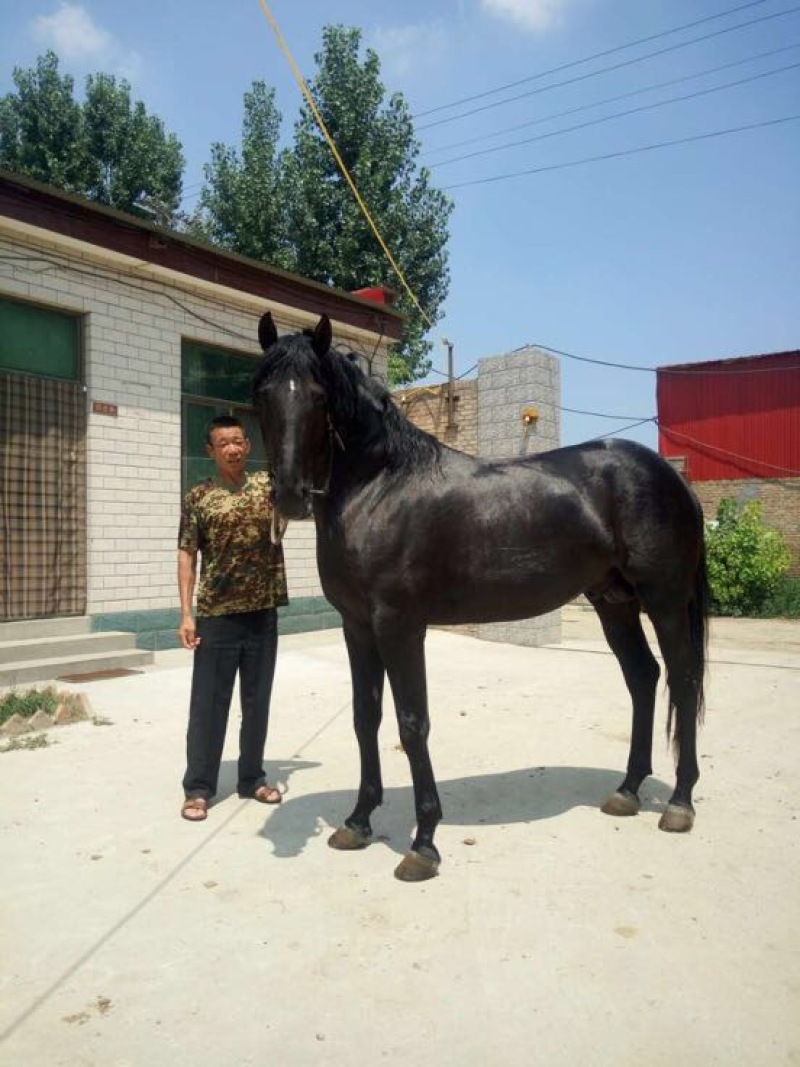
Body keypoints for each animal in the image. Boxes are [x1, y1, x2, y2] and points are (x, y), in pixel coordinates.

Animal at [252, 312, 709, 882]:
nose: (290, 496)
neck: (379, 489)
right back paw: (627, 791)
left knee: (682, 680)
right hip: (614, 602)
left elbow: (412, 723)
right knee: (643, 678)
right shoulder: (356, 625)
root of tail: (671, 477)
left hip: (664, 602)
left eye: (317, 396)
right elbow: (365, 717)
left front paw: (423, 844)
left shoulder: (400, 625)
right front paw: (357, 822)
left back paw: (680, 804)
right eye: (263, 393)